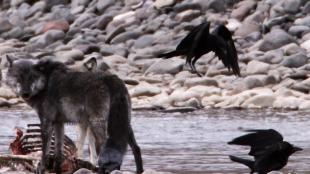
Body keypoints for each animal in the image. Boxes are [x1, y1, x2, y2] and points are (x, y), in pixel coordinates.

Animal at [5, 55, 143, 174]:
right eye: (18, 77)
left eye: (32, 77)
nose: (25, 93)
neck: (45, 83)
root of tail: (111, 79)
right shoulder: (59, 124)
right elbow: (58, 151)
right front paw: (57, 169)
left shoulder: (46, 122)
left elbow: (45, 150)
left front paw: (42, 168)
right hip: (123, 124)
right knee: (136, 148)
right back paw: (139, 170)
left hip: (97, 123)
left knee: (105, 147)